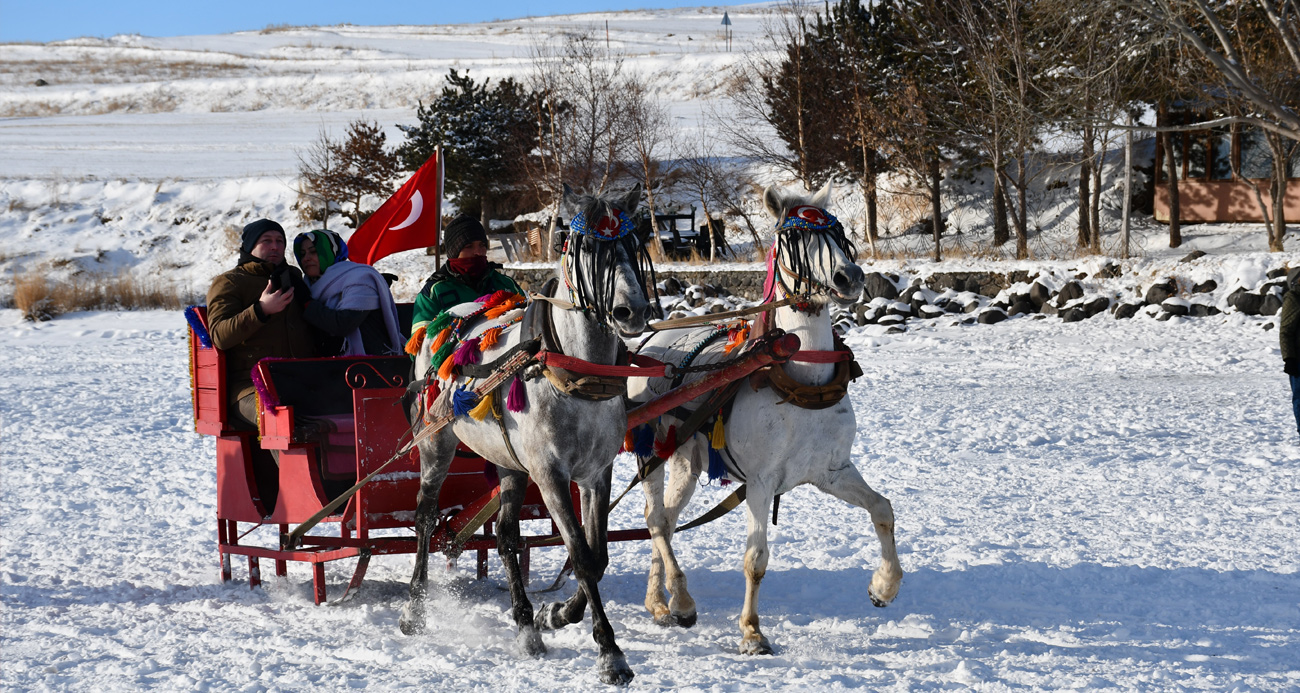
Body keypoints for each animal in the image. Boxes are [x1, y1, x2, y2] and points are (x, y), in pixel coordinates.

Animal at [400, 180, 655, 681]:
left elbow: (597, 555)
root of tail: (446, 320)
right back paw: (415, 608)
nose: (629, 311)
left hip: (509, 463)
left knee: (505, 535)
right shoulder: (551, 474)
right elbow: (580, 555)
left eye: (634, 244)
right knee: (424, 516)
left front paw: (555, 614)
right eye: (585, 248)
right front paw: (610, 652)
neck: (572, 372)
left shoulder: (595, 473)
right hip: (437, 444)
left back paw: (525, 626)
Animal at [624, 180, 899, 650]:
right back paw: (681, 601)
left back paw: (659, 603)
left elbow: (882, 509)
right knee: (656, 520)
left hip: (687, 461)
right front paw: (752, 631)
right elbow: (756, 558)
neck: (802, 379)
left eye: (839, 232)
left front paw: (884, 586)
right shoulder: (760, 481)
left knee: (667, 520)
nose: (850, 277)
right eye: (794, 238)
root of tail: (648, 345)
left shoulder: (832, 471)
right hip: (651, 451)